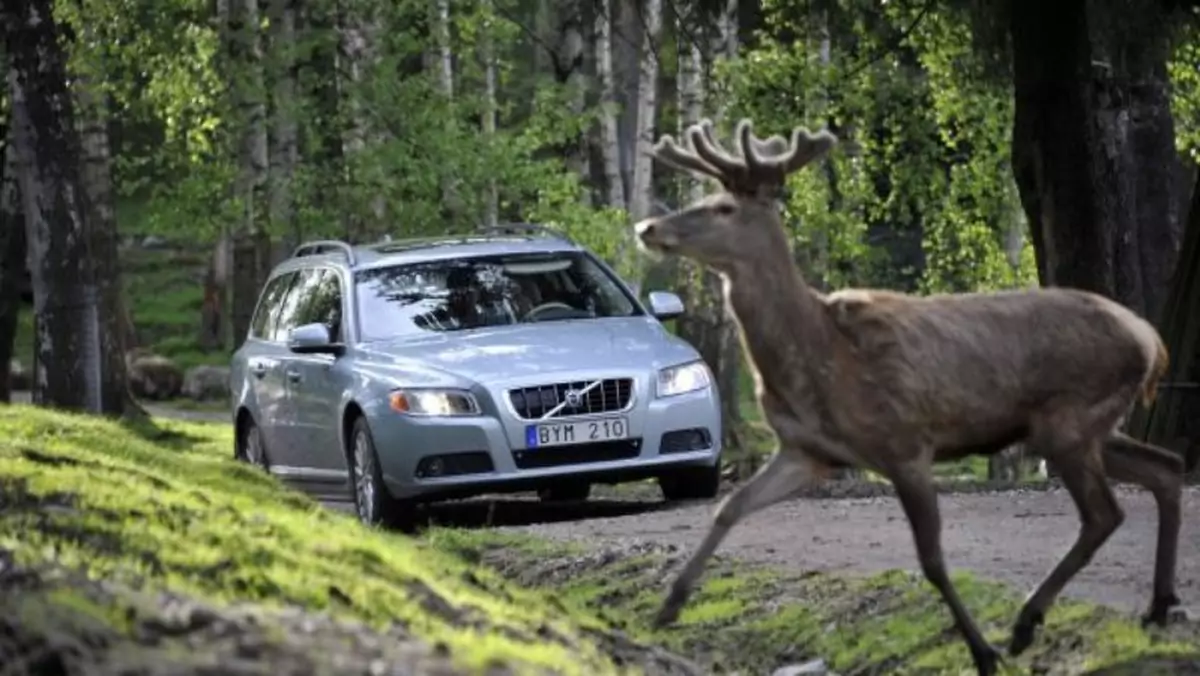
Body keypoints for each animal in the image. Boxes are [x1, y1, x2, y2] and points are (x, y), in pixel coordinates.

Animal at [633, 118, 1185, 672]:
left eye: (724, 208)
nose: (647, 229)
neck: (818, 357)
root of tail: (1150, 339)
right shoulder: (808, 450)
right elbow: (730, 507)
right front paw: (668, 606)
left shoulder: (904, 443)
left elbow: (933, 559)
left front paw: (981, 651)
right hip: (1085, 426)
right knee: (1167, 467)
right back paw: (1156, 606)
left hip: (1068, 419)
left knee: (1104, 513)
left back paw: (1027, 623)